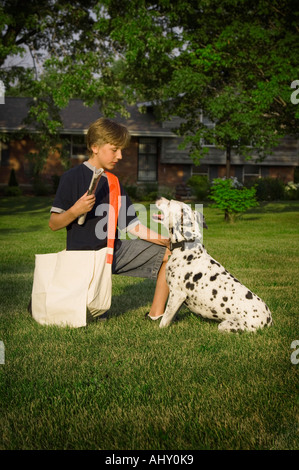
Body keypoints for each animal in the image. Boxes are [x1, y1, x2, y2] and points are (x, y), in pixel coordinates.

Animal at [155, 196, 274, 332]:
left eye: (169, 202)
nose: (159, 197)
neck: (186, 246)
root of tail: (269, 321)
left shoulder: (176, 295)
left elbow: (165, 319)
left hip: (226, 325)